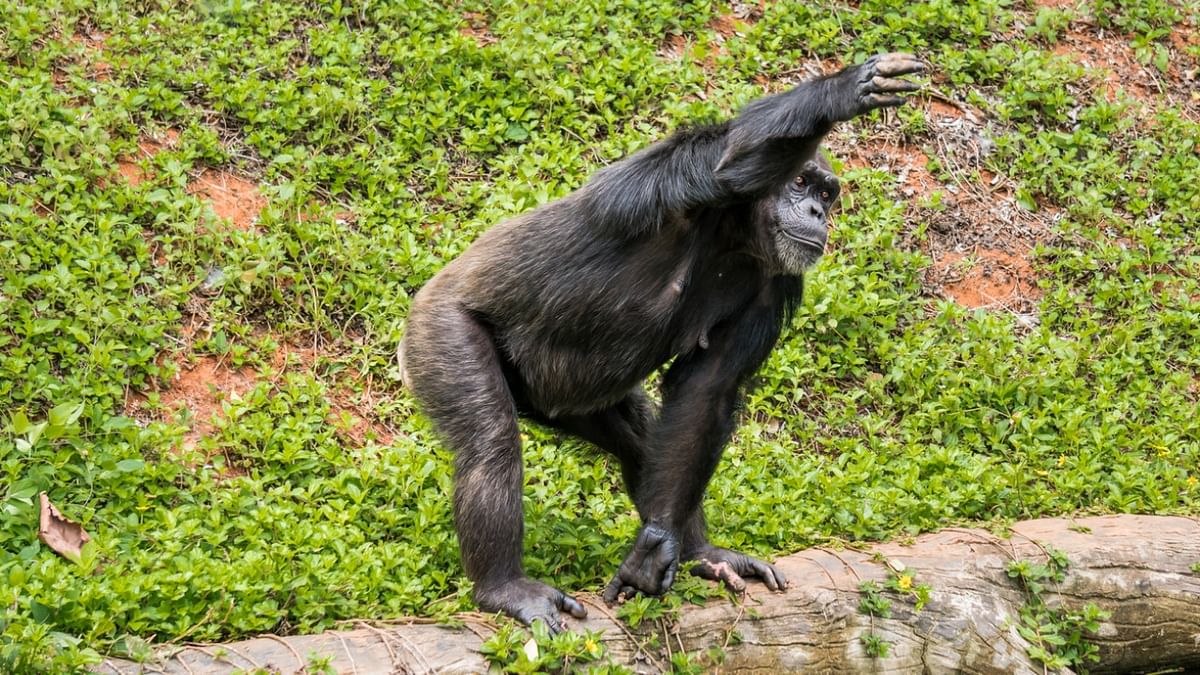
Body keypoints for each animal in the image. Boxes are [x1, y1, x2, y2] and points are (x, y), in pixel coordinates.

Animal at [398, 52, 921, 629]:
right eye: (802, 181)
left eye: (827, 193)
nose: (817, 212)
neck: (736, 230)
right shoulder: (681, 172)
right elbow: (731, 158)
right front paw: (845, 90)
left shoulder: (776, 284)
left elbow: (706, 390)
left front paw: (661, 548)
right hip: (439, 332)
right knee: (489, 444)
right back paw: (504, 588)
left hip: (568, 400)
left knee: (644, 439)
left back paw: (701, 554)